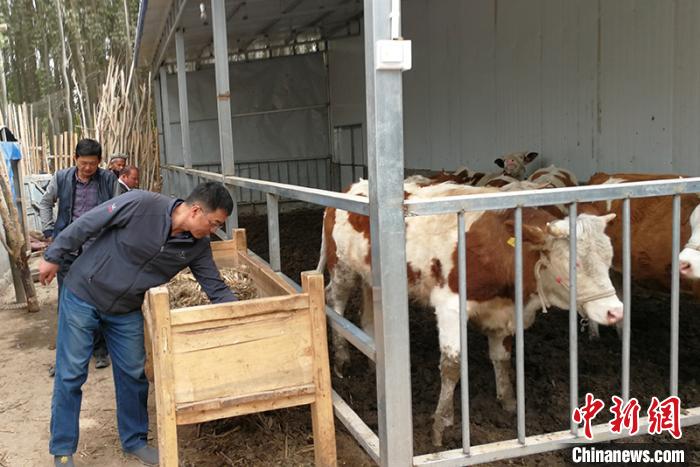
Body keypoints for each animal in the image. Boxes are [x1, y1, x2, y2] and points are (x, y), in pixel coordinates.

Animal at [320, 179, 620, 446]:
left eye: (609, 259)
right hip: (342, 268)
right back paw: (342, 361)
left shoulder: (503, 311)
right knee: (335, 302)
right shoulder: (449, 305)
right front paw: (440, 425)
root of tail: (352, 187)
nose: (615, 311)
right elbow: (452, 366)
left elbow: (501, 358)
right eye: (573, 265)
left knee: (366, 316)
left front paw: (509, 402)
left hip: (370, 277)